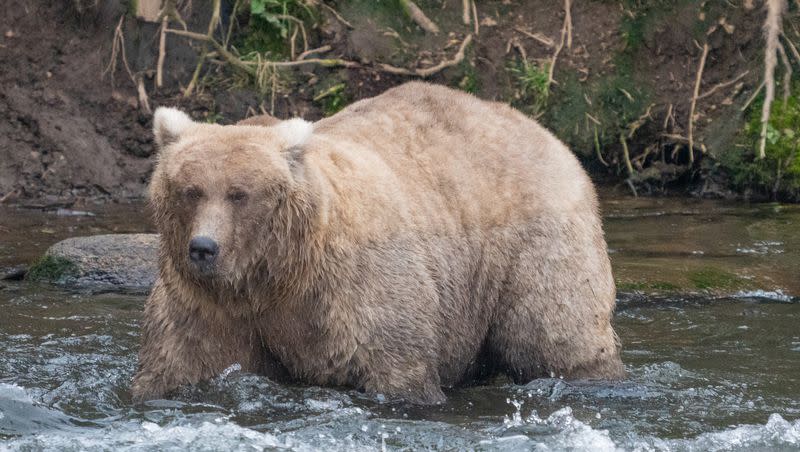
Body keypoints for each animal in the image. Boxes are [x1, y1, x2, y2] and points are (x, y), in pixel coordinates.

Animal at [130, 80, 624, 402]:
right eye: (190, 190)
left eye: (239, 193)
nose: (204, 248)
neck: (277, 274)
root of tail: (543, 131)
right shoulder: (209, 305)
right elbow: (180, 363)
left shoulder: (355, 288)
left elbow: (394, 365)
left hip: (532, 245)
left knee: (554, 332)